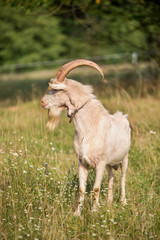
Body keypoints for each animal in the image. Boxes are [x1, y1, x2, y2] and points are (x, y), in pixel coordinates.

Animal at [41, 59, 131, 216]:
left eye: (56, 90)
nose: (42, 102)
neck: (88, 128)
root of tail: (123, 116)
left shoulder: (100, 163)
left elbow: (96, 188)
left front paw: (94, 211)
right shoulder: (82, 162)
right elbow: (82, 189)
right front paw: (77, 213)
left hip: (124, 159)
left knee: (122, 179)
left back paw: (123, 202)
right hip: (109, 164)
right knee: (111, 178)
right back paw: (109, 203)